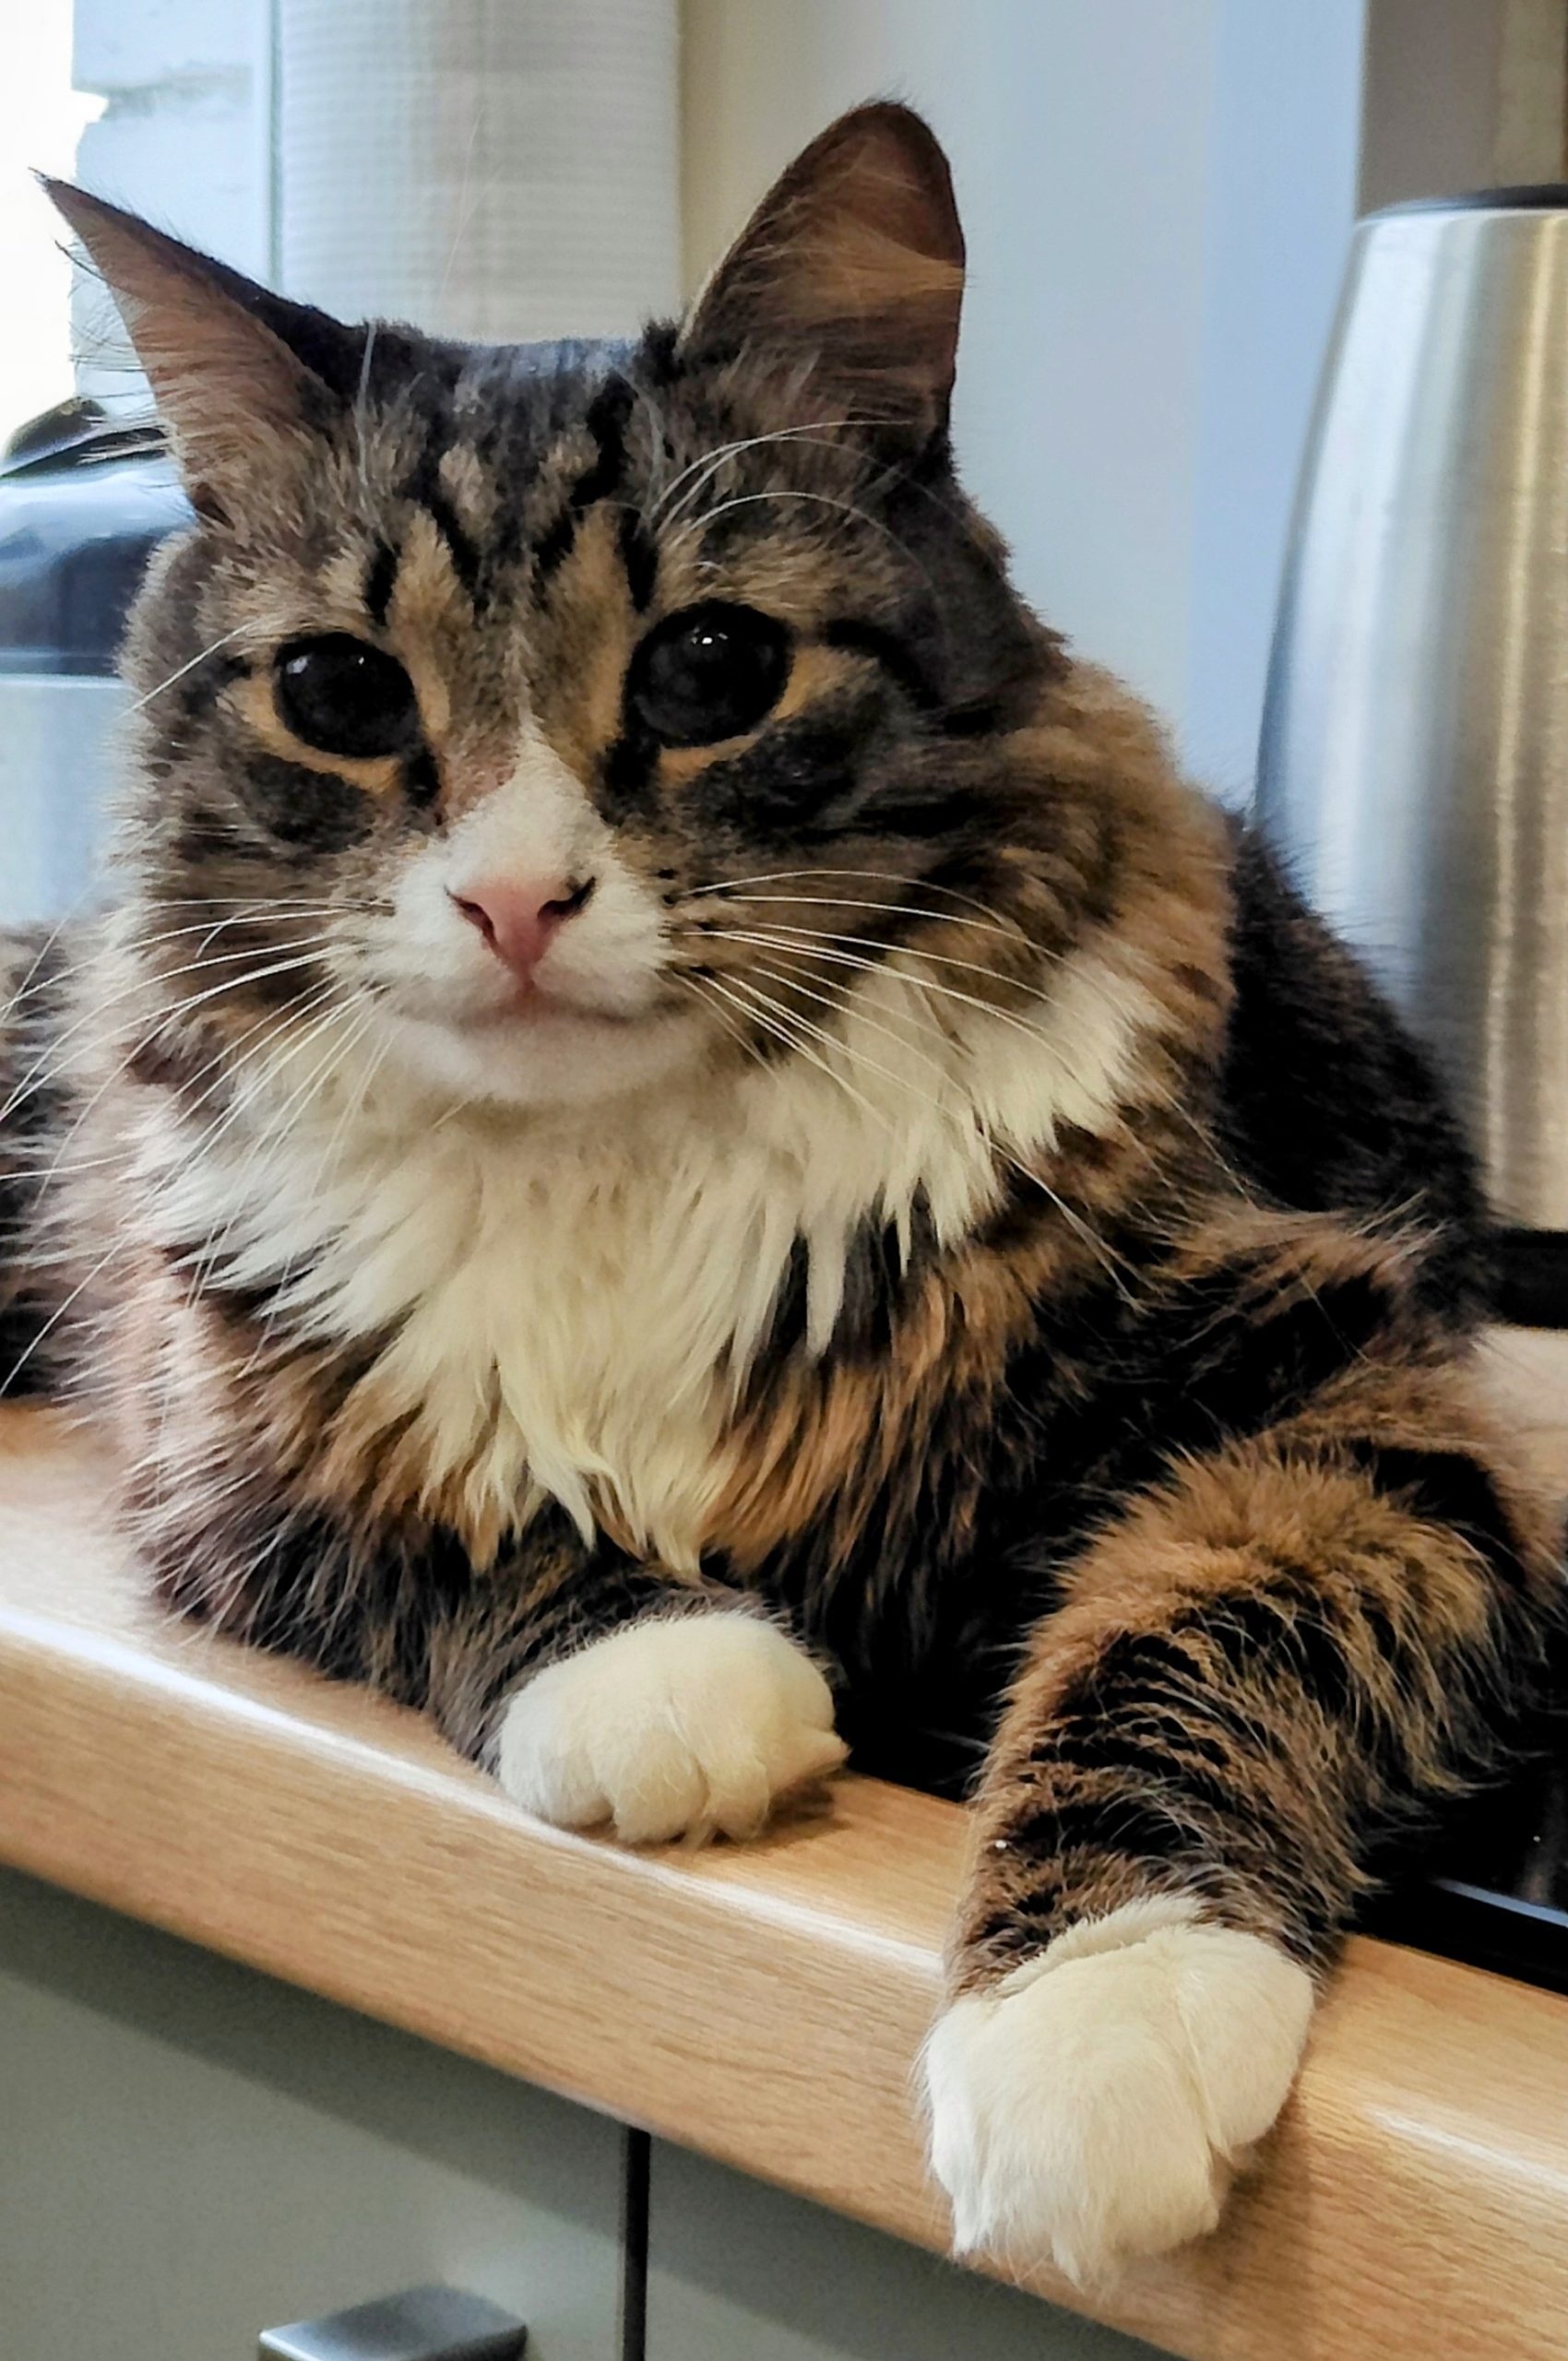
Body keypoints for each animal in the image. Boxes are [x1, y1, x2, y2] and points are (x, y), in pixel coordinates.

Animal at [1, 104, 1559, 2287]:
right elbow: (458, 1506)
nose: (513, 901)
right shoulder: (215, 1422)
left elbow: (1192, 1632)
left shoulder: (1340, 1393)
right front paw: (677, 1677)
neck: (614, 1159)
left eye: (712, 666)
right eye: (342, 692)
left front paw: (1094, 2022)